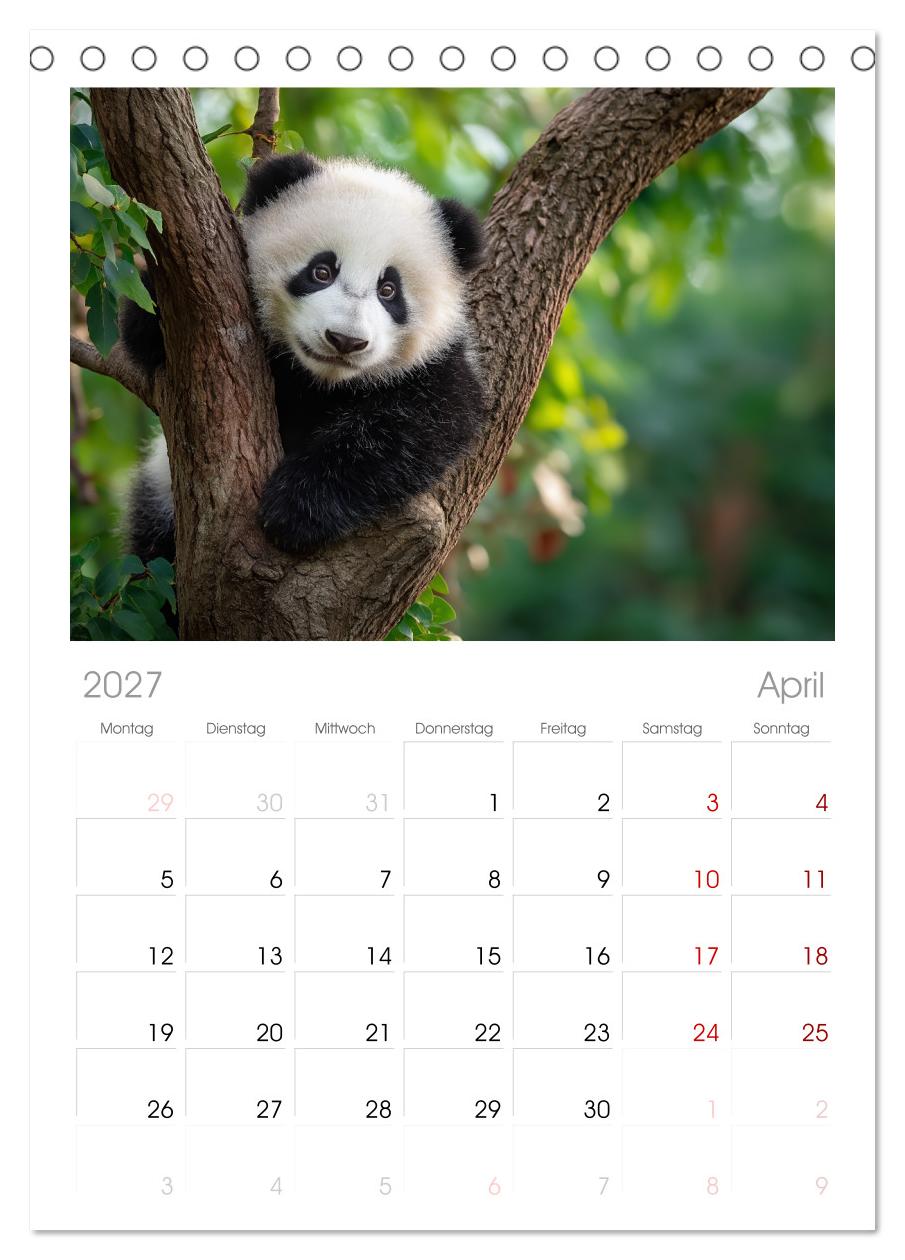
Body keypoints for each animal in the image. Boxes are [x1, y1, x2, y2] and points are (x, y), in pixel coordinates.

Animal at [121, 150, 487, 561]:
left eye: (389, 290)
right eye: (321, 271)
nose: (344, 340)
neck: (319, 381)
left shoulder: (437, 366)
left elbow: (419, 426)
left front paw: (297, 509)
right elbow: (139, 332)